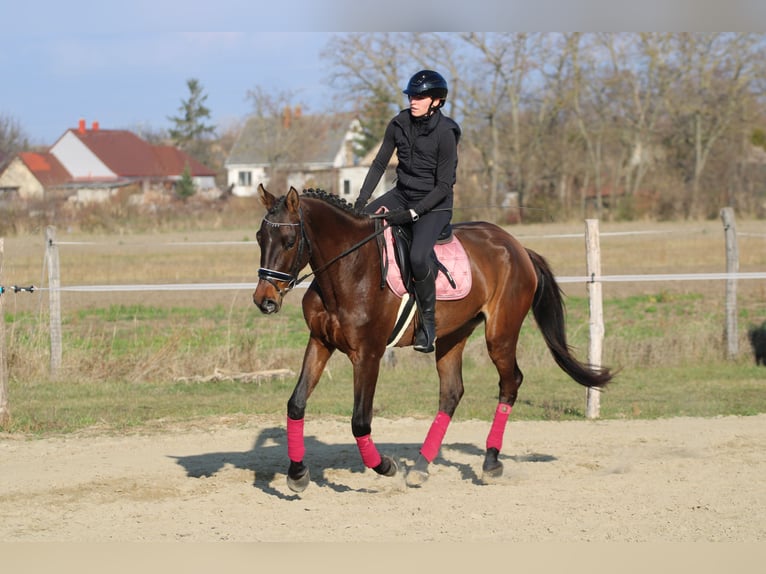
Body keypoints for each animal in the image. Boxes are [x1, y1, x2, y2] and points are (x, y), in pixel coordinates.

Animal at [253, 184, 613, 492]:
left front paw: (385, 466)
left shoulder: (368, 354)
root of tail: (517, 247)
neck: (348, 269)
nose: (264, 300)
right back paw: (421, 466)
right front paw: (297, 474)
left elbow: (360, 421)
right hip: (454, 335)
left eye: (288, 240)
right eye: (259, 237)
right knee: (452, 392)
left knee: (510, 383)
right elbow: (296, 404)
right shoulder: (320, 343)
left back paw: (490, 462)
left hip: (500, 334)